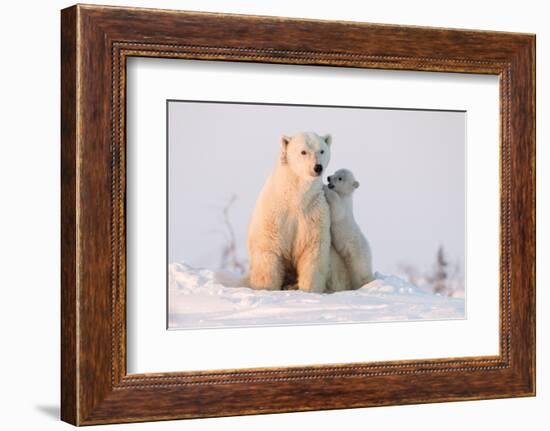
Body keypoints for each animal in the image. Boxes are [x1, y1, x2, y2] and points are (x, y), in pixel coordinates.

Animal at [248, 132, 334, 294]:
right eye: (303, 152)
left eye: (321, 150)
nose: (317, 167)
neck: (294, 197)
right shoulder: (274, 215)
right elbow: (268, 250)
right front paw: (266, 288)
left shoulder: (313, 213)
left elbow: (312, 252)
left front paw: (309, 290)